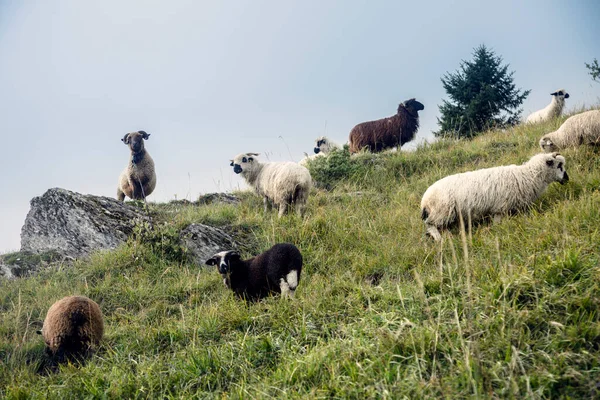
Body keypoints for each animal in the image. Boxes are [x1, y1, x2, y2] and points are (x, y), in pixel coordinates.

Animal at [420, 152, 568, 241]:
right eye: (559, 166)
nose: (567, 179)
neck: (527, 175)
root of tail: (424, 200)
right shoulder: (500, 208)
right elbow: (497, 224)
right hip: (442, 211)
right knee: (430, 225)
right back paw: (439, 239)